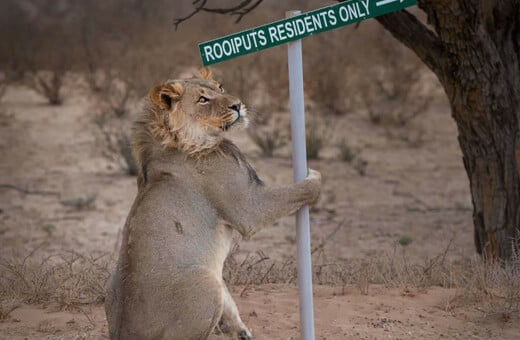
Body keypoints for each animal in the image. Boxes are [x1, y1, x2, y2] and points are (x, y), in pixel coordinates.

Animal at [105, 67, 320, 338]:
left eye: (221, 87)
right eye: (203, 100)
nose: (238, 105)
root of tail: (123, 333)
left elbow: (230, 304)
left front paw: (241, 332)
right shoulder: (249, 208)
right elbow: (299, 191)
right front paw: (315, 177)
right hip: (205, 284)